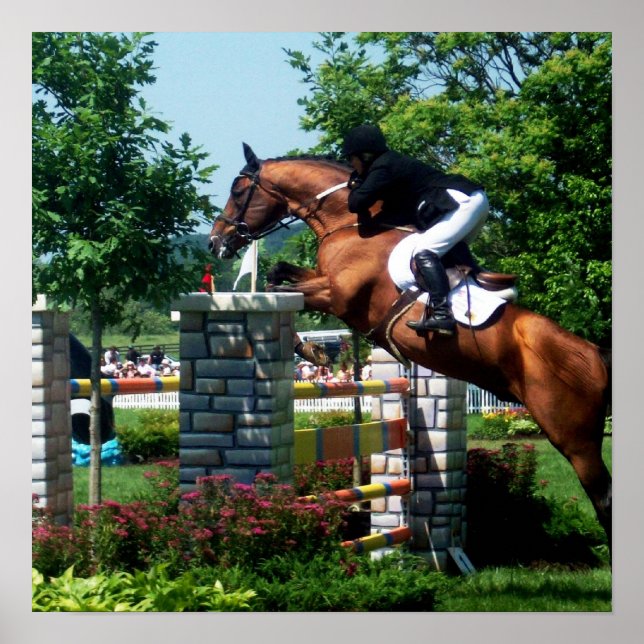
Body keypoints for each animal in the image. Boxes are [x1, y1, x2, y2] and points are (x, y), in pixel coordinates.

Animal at [209, 143, 612, 551]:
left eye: (238, 191)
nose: (215, 242)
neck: (350, 224)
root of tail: (595, 354)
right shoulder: (323, 283)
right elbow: (277, 276)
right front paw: (312, 348)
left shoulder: (336, 295)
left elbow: (277, 286)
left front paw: (312, 351)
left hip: (573, 436)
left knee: (603, 496)